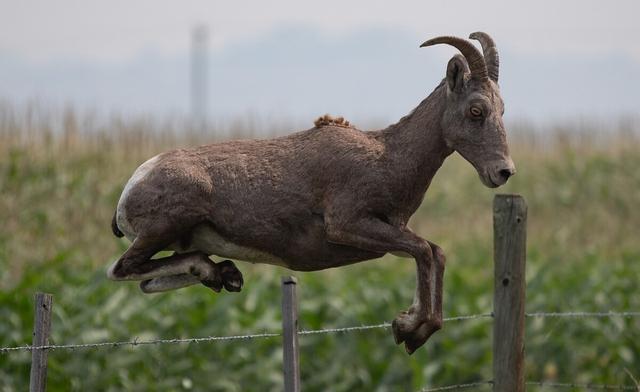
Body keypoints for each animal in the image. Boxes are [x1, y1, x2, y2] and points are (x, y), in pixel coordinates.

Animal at [106, 32, 516, 354]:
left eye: (501, 110)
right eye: (476, 110)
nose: (503, 172)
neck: (387, 157)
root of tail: (133, 186)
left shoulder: (387, 233)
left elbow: (435, 252)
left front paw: (410, 327)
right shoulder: (350, 226)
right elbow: (425, 252)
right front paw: (409, 331)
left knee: (148, 280)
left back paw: (222, 274)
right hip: (163, 228)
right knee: (121, 270)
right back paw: (218, 272)